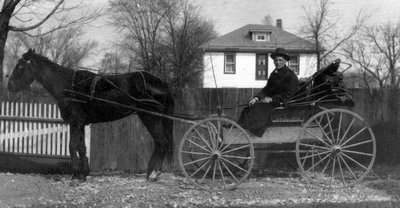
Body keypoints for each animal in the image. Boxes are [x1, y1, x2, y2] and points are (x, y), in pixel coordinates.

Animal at [7, 48, 175, 184]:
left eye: (20, 67)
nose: (10, 86)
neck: (68, 86)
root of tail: (161, 82)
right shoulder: (80, 123)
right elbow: (81, 148)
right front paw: (83, 174)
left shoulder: (75, 122)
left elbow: (72, 146)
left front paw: (75, 176)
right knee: (160, 143)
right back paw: (151, 172)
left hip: (150, 117)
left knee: (162, 142)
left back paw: (154, 174)